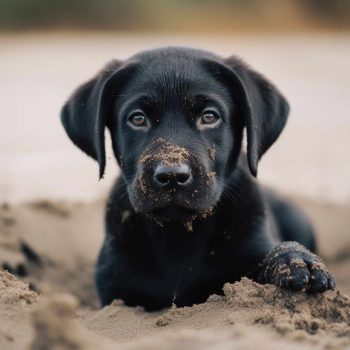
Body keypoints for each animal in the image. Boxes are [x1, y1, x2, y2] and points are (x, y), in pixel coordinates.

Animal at [61, 47, 334, 312]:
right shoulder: (117, 287)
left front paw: (295, 261)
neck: (178, 235)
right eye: (137, 119)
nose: (172, 176)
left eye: (209, 117)